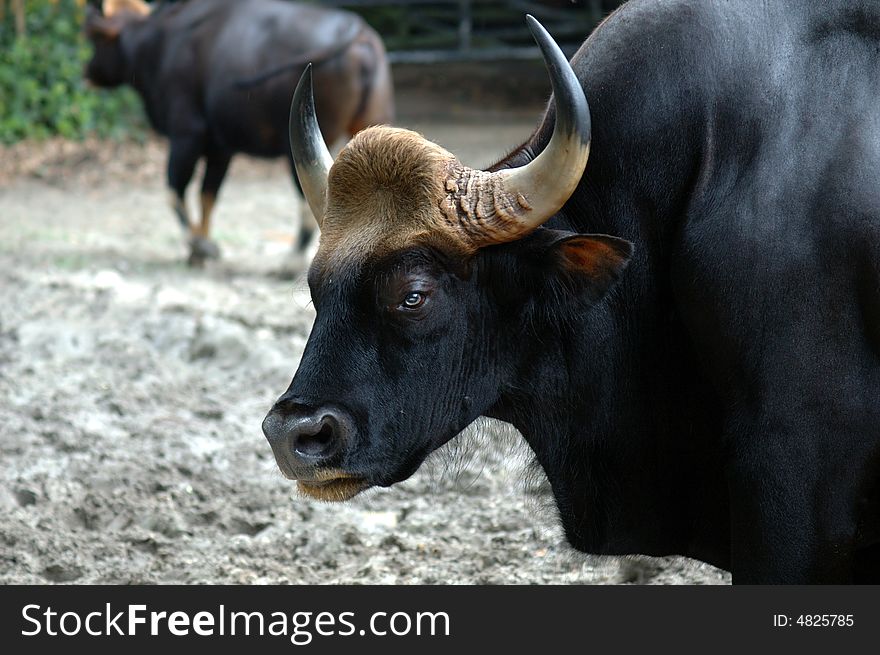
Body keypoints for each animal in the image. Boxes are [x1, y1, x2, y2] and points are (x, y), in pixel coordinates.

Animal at [84, 0, 394, 266]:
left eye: (95, 39)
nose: (87, 73)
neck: (157, 43)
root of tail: (358, 32)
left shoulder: (186, 134)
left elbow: (174, 189)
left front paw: (198, 245)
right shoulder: (221, 147)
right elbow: (208, 195)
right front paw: (201, 248)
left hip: (309, 139)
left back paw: (292, 261)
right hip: (372, 128)